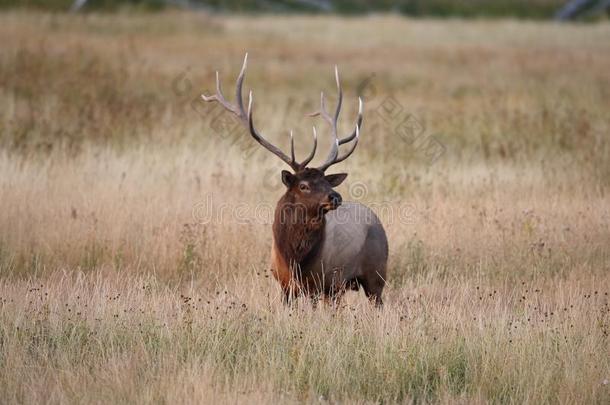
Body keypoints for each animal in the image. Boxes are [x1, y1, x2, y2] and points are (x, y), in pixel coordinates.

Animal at [202, 54, 388, 306]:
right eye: (303, 185)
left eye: (327, 182)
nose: (335, 196)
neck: (294, 260)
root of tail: (377, 220)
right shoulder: (285, 285)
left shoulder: (327, 283)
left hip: (375, 276)